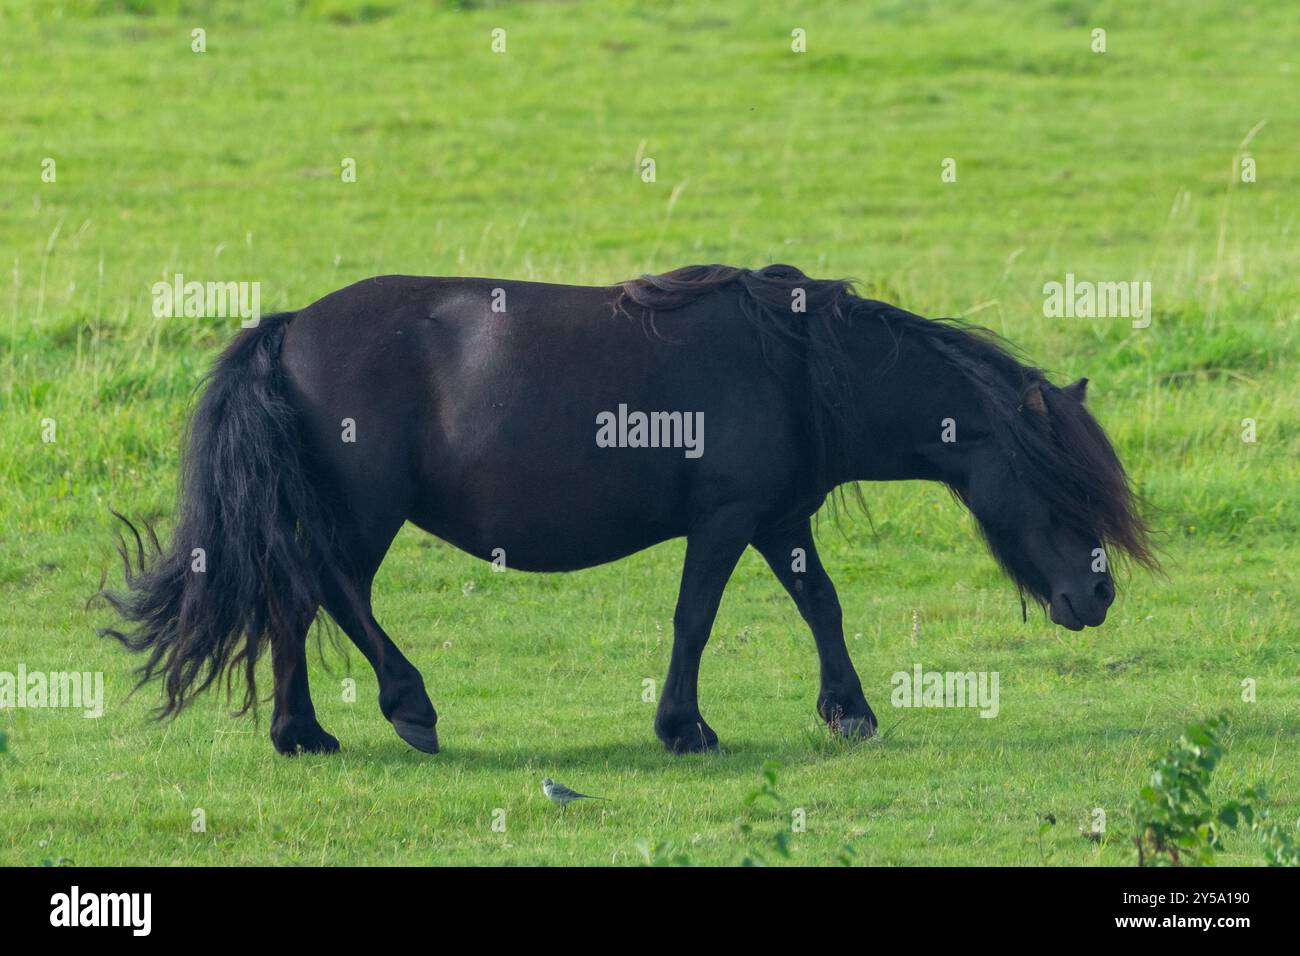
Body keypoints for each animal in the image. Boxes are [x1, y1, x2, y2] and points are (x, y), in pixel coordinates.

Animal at [99, 264, 1154, 756]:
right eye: (1062, 488)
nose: (1096, 597)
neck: (797, 366)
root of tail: (289, 328)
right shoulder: (726, 520)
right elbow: (696, 617)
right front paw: (684, 726)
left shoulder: (778, 521)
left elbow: (823, 606)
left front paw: (848, 710)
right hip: (364, 516)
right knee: (330, 592)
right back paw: (407, 705)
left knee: (297, 599)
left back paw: (303, 733)